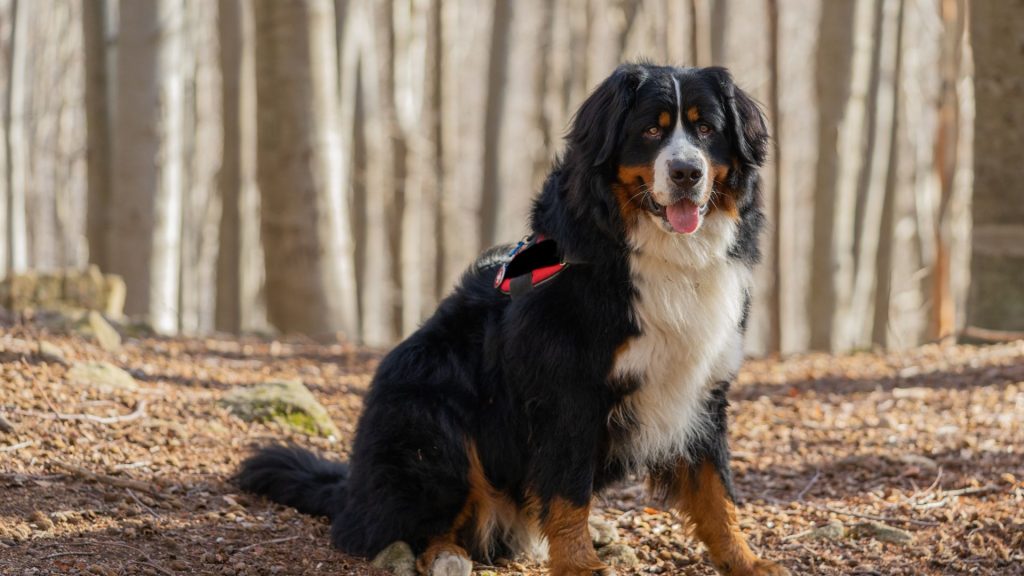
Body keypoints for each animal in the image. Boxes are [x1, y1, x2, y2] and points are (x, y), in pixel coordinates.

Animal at [239, 63, 790, 573]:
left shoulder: (701, 387)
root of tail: (352, 487)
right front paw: (579, 564)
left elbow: (717, 491)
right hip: (432, 420)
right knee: (400, 525)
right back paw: (447, 556)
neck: (665, 256)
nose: (686, 173)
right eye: (651, 131)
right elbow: (568, 491)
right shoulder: (569, 390)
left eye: (706, 130)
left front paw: (747, 561)